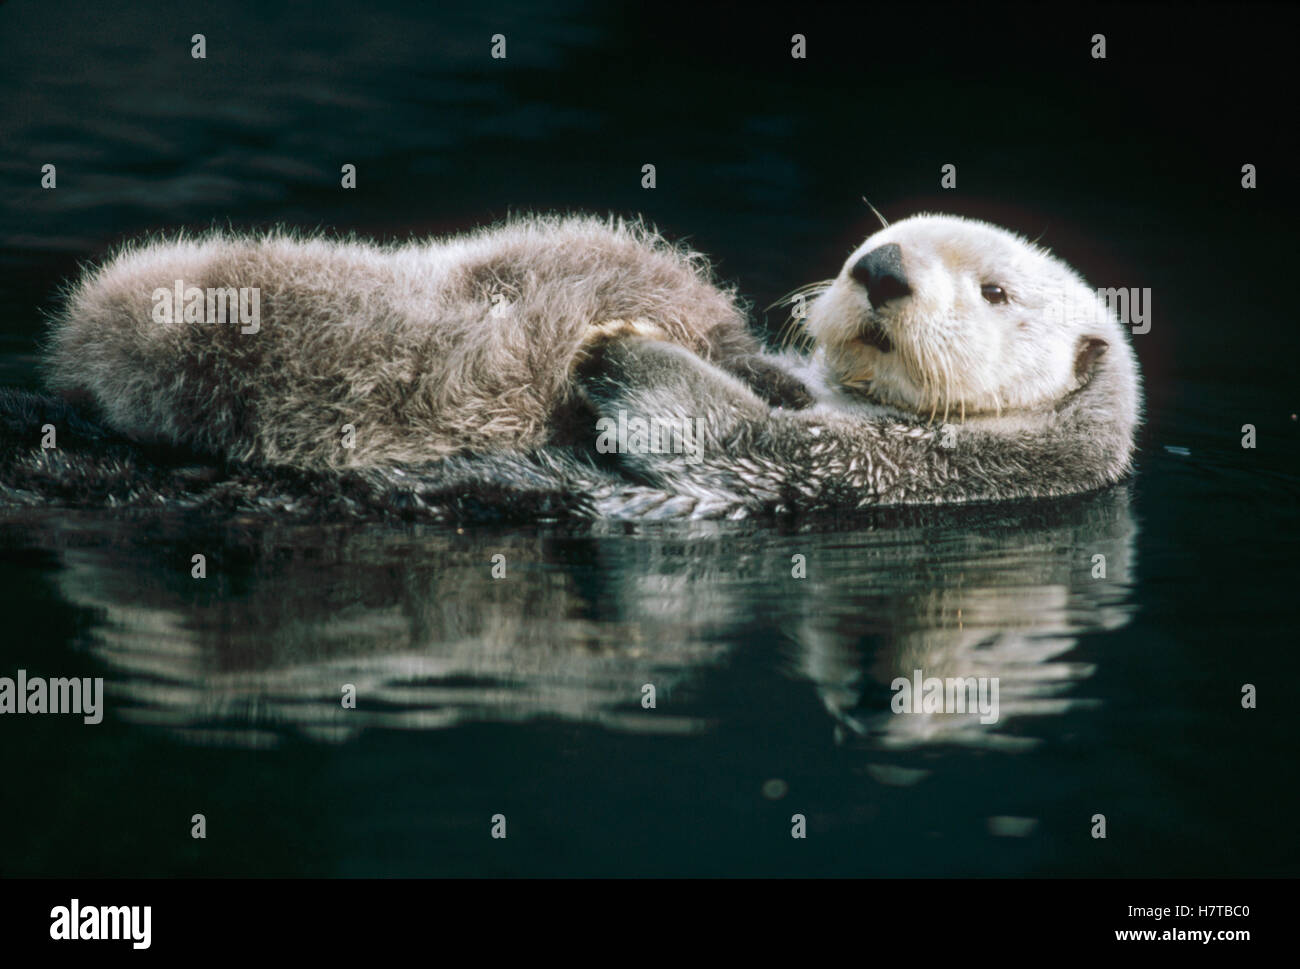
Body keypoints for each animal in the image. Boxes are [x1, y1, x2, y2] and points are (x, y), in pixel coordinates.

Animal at [0, 213, 1140, 521]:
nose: (882, 267)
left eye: (995, 292)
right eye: (886, 230)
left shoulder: (864, 471)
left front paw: (617, 348)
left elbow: (724, 432)